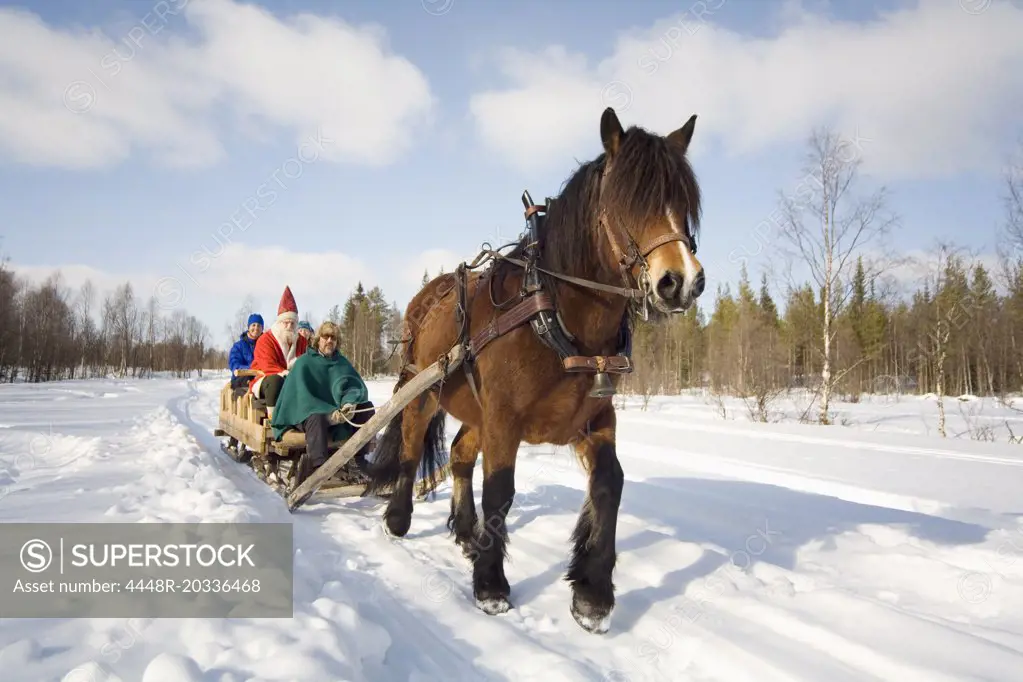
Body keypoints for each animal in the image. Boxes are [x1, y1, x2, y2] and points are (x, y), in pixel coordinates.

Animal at [364, 106, 707, 633]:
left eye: (684, 202)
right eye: (625, 200)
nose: (682, 281)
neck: (555, 314)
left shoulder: (594, 418)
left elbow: (610, 484)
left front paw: (592, 594)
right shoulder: (504, 418)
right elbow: (500, 491)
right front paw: (491, 585)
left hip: (476, 409)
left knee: (459, 455)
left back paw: (466, 533)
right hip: (423, 390)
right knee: (409, 449)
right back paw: (398, 519)